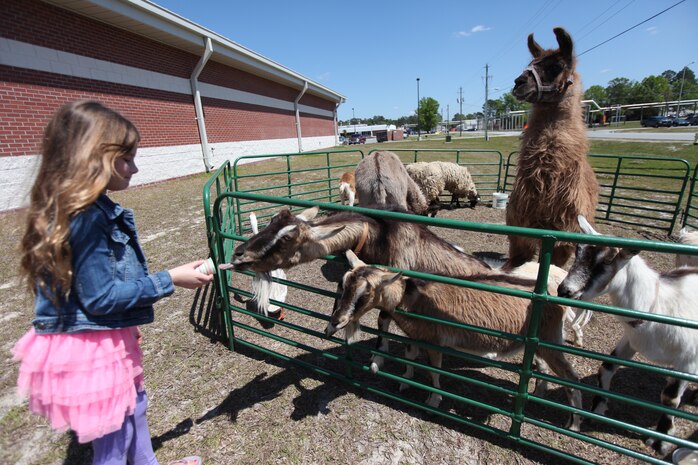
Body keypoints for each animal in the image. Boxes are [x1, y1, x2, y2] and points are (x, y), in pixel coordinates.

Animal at [326, 252, 580, 430]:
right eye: (344, 283)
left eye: (365, 293)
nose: (336, 322)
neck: (412, 297)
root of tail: (552, 294)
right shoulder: (416, 335)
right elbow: (410, 356)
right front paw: (406, 380)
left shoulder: (434, 340)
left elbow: (434, 370)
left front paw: (433, 401)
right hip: (541, 342)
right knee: (543, 365)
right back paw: (539, 393)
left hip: (549, 339)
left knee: (571, 378)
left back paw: (574, 424)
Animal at [556, 217, 696, 454]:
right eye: (578, 251)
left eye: (607, 261)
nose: (564, 290)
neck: (657, 304)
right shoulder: (631, 341)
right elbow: (606, 367)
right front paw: (598, 409)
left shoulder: (688, 362)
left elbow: (670, 398)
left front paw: (661, 442)